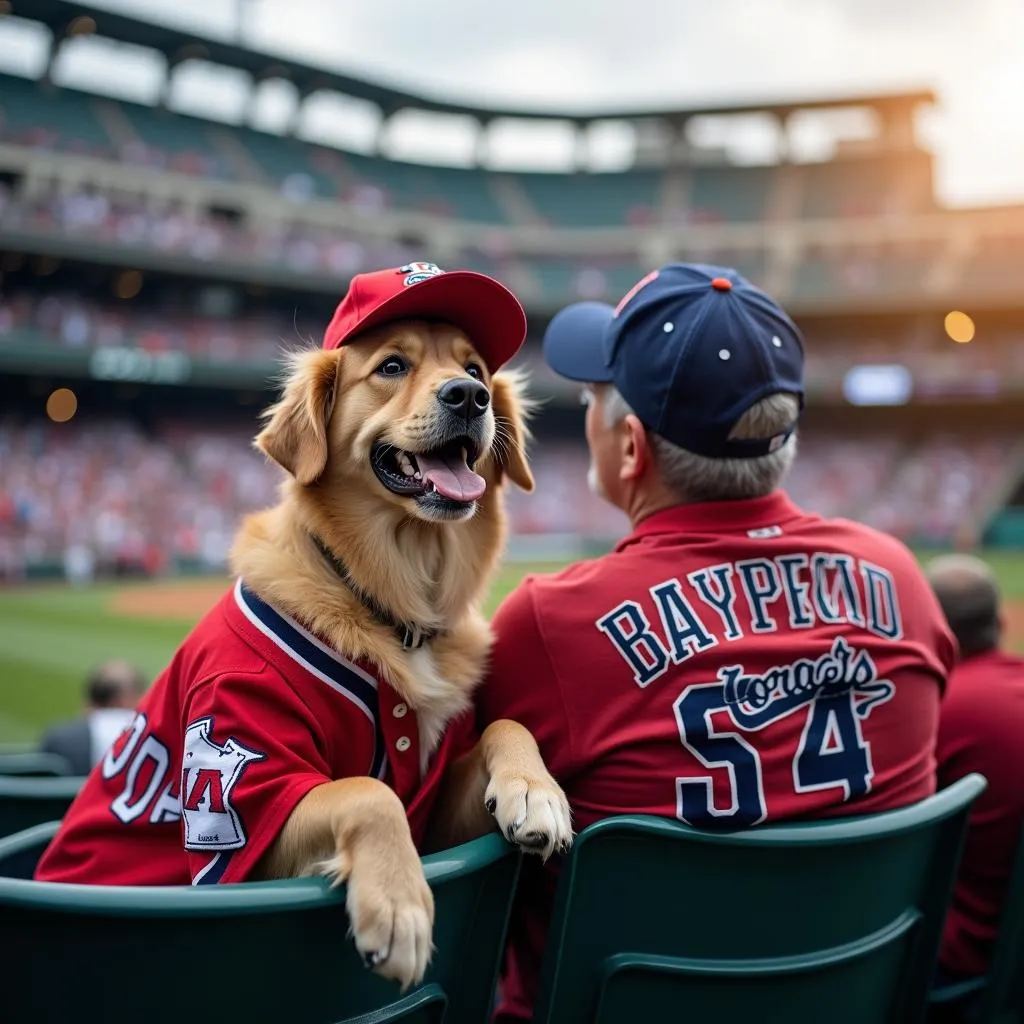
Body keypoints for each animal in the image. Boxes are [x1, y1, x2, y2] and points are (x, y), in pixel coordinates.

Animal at [231, 315, 577, 987]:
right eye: (392, 366)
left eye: (474, 370)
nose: (470, 398)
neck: (392, 608)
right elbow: (368, 791)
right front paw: (399, 905)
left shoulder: (440, 817)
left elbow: (506, 723)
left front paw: (535, 790)